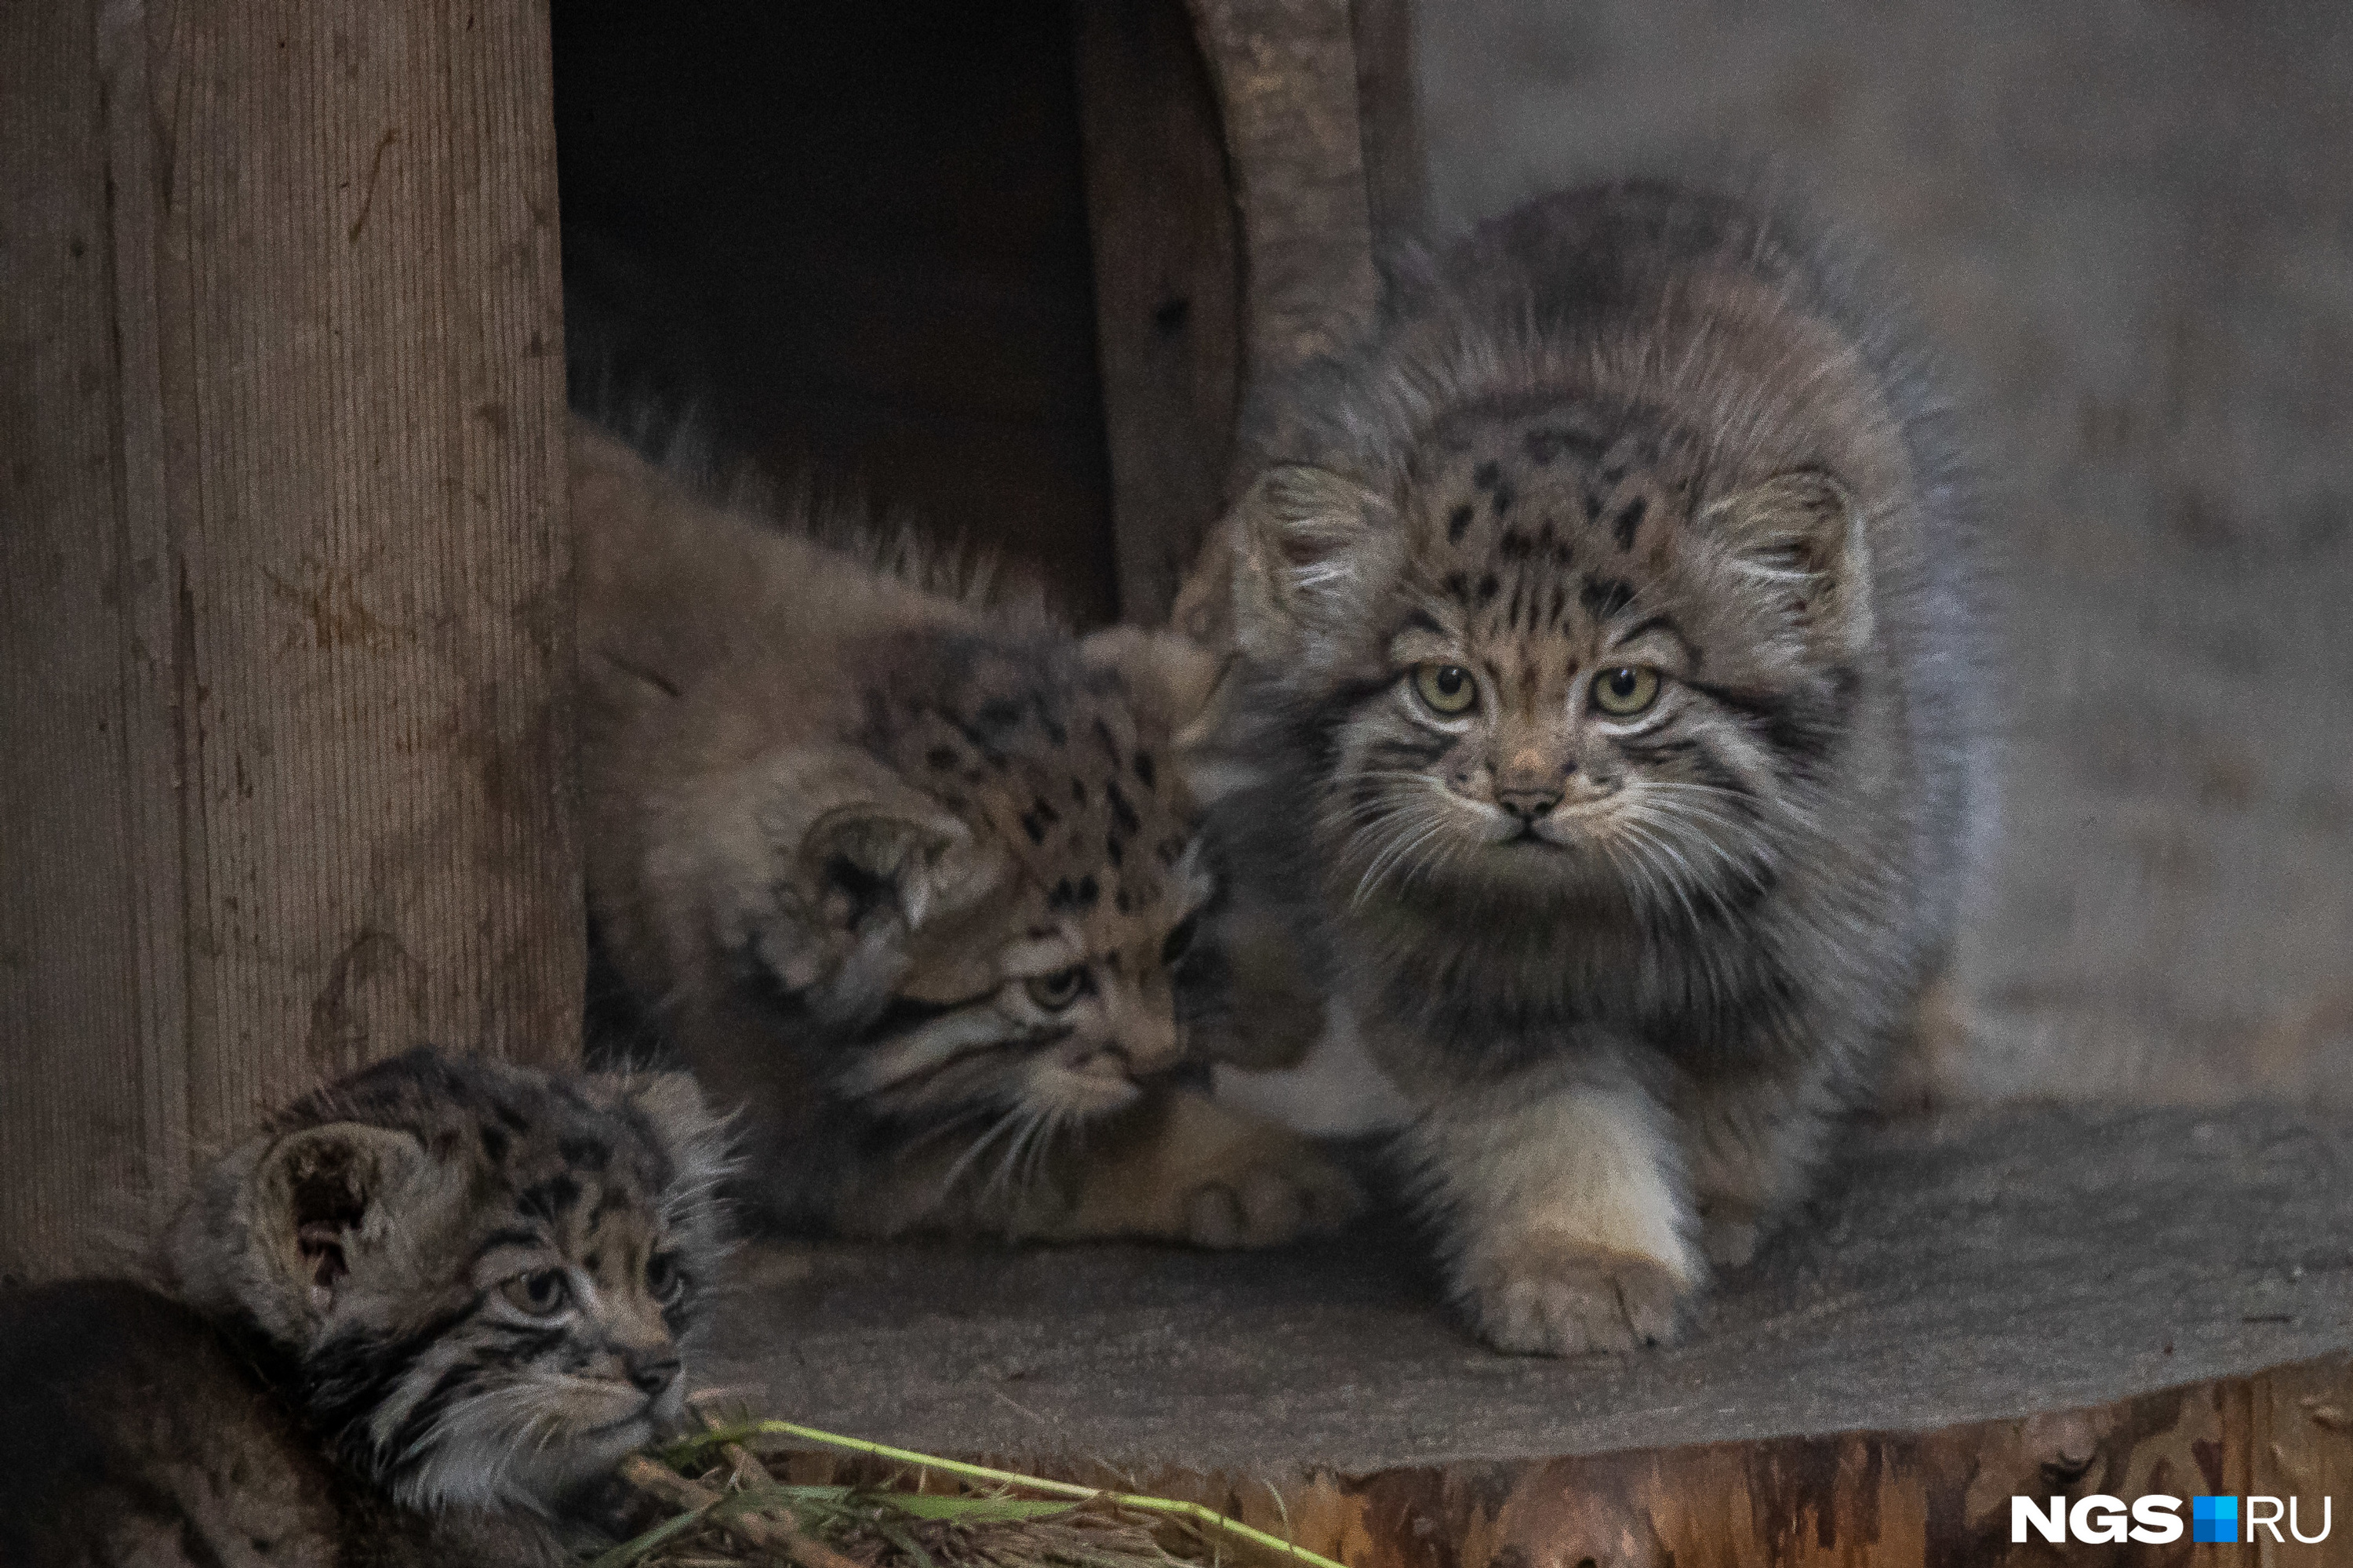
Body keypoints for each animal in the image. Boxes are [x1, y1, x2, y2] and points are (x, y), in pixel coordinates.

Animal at [574, 414, 1365, 1242]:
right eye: (1056, 986)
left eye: (1178, 939)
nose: (1157, 1058)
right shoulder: (804, 1138)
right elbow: (1081, 1140)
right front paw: (1261, 1170)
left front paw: (1274, 998)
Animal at [1195, 184, 1986, 1346]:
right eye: (1447, 688)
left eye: (1624, 690)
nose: (1527, 791)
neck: (1595, 908)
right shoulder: (1458, 986)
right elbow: (1547, 1119)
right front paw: (1581, 1261)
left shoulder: (1808, 937)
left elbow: (1744, 1090)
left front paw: (1713, 1208)